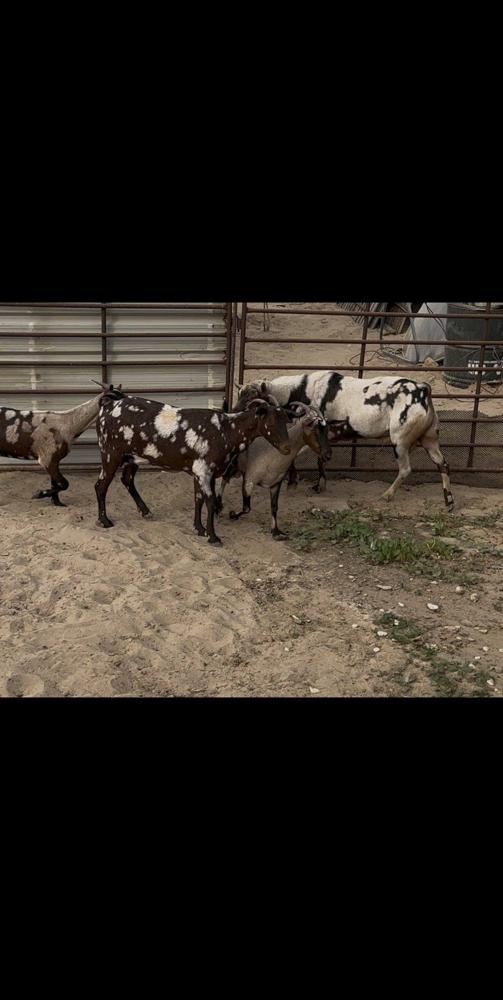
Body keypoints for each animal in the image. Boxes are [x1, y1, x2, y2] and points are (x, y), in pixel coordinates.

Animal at [94, 393, 292, 545]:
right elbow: (210, 501)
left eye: (286, 422)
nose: (287, 448)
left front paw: (200, 529)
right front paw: (213, 537)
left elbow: (198, 498)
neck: (226, 431)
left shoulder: (202, 473)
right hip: (110, 454)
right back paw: (104, 521)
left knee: (127, 480)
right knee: (101, 485)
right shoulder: (203, 471)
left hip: (130, 458)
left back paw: (145, 512)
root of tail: (109, 404)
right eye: (271, 423)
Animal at [217, 402, 351, 540]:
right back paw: (218, 506)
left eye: (327, 430)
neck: (271, 454)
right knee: (224, 480)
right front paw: (232, 514)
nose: (328, 455)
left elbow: (274, 507)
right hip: (232, 467)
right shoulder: (249, 480)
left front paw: (276, 531)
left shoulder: (276, 483)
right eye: (314, 430)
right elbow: (246, 508)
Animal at [235, 372, 454, 510]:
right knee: (442, 464)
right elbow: (320, 459)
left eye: (253, 398)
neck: (301, 389)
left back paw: (387, 495)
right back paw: (449, 501)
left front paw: (294, 483)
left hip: (399, 441)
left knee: (406, 469)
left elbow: (297, 457)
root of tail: (424, 390)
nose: (235, 412)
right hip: (429, 439)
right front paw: (319, 486)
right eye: (240, 394)